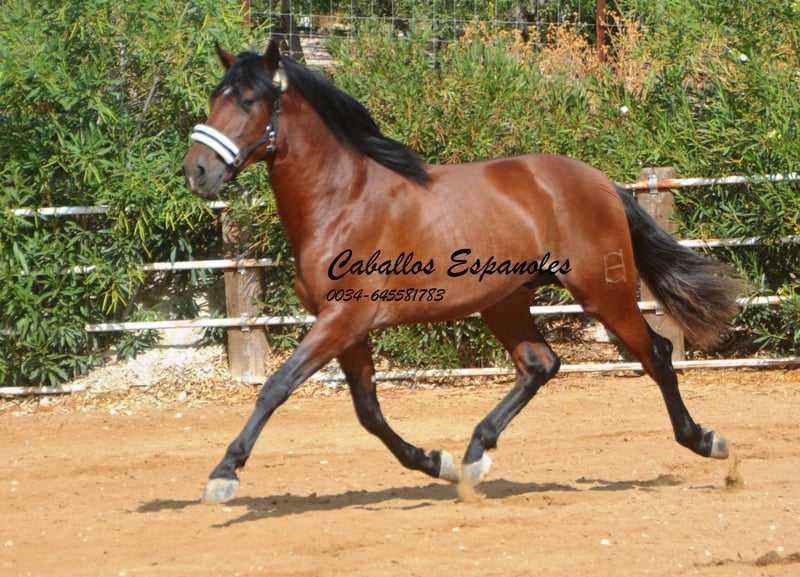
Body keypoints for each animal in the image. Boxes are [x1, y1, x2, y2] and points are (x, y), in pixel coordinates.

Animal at [182, 40, 742, 504]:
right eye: (214, 97)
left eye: (247, 101)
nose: (196, 172)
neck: (343, 200)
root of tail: (599, 181)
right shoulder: (348, 327)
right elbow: (368, 411)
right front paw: (438, 462)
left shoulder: (343, 319)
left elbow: (277, 386)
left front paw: (223, 475)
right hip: (505, 300)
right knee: (540, 363)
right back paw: (474, 457)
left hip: (602, 291)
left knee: (656, 353)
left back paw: (706, 441)